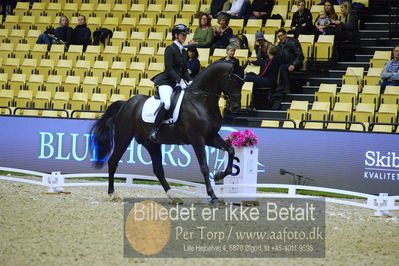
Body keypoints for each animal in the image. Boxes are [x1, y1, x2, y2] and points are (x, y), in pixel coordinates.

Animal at [90, 62, 244, 206]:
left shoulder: (211, 137)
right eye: (232, 80)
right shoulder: (197, 139)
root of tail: (125, 104)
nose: (236, 107)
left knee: (158, 169)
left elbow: (231, 150)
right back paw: (112, 194)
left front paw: (219, 175)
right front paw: (213, 196)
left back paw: (173, 196)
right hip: (123, 137)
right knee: (113, 161)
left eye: (243, 82)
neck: (200, 101)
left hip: (151, 143)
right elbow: (204, 167)